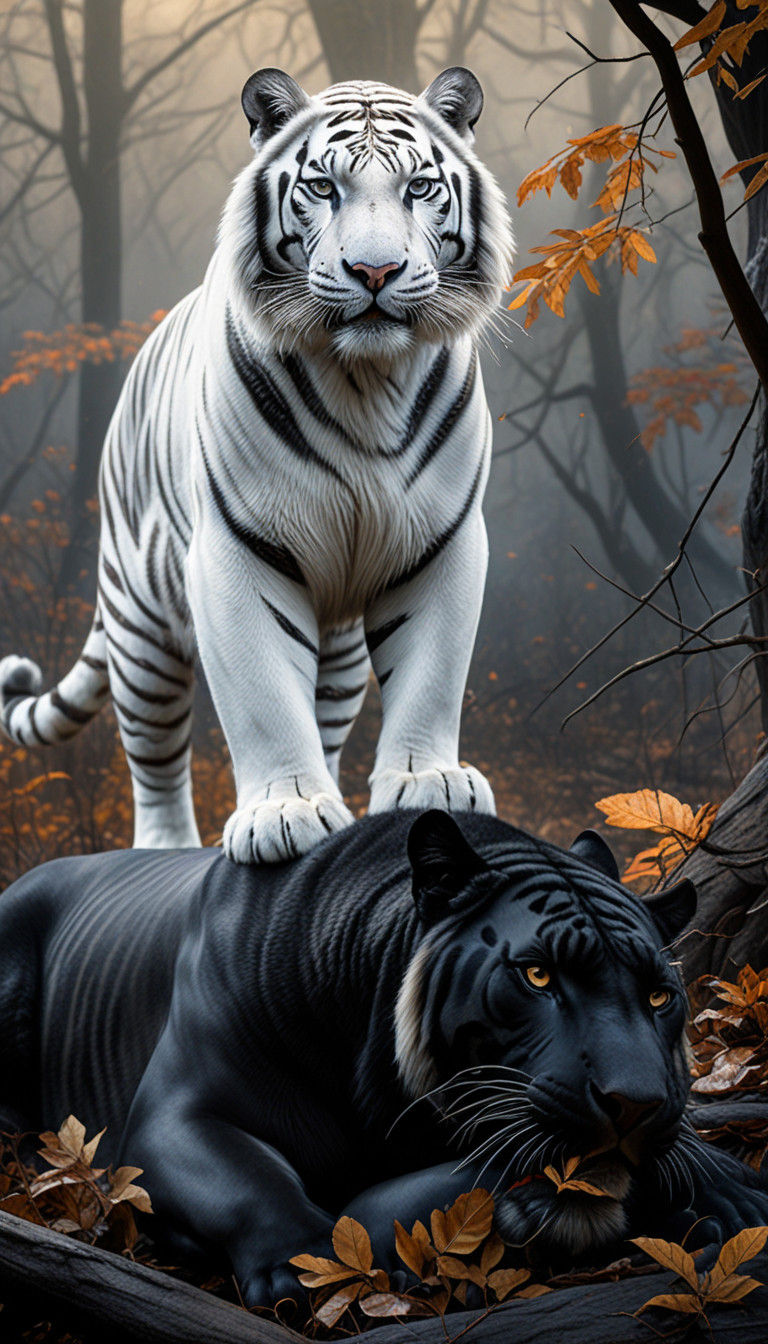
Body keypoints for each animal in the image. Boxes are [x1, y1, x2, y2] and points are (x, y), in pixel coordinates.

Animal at [0, 66, 514, 864]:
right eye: (325, 187)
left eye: (420, 187)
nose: (375, 270)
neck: (365, 381)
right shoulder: (234, 549)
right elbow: (263, 692)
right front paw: (285, 812)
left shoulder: (443, 540)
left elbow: (431, 673)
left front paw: (429, 782)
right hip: (143, 629)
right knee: (155, 763)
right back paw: (168, 851)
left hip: (336, 650)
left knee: (325, 713)